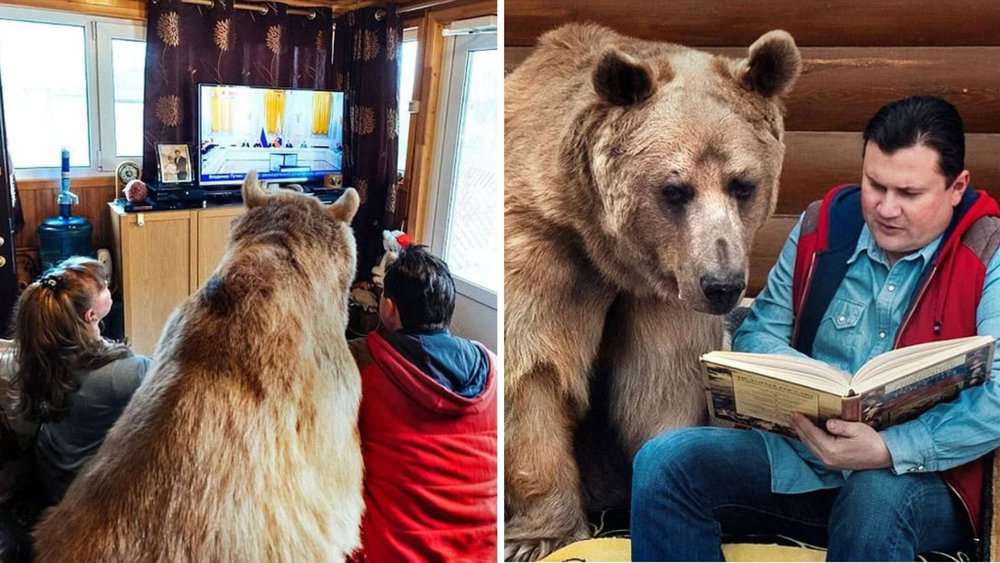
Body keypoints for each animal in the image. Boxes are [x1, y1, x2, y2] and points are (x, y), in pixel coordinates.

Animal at [504, 23, 802, 560]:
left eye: (742, 184)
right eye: (674, 188)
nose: (722, 284)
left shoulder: (666, 294)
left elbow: (659, 382)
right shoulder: (541, 248)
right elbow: (534, 368)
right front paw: (542, 533)